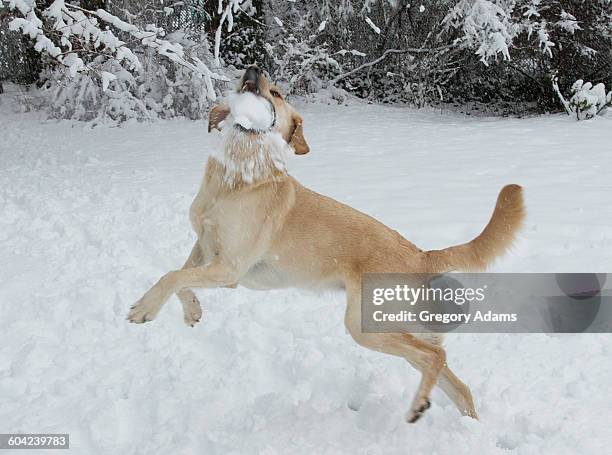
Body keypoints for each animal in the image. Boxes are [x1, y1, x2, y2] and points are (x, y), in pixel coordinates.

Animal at [126, 66, 524, 426]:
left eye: (276, 93)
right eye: (243, 82)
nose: (252, 70)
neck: (239, 174)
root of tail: (419, 254)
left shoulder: (229, 268)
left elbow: (171, 276)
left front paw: (144, 308)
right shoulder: (205, 248)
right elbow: (180, 277)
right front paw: (191, 311)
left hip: (364, 326)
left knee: (435, 359)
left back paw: (418, 408)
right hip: (393, 327)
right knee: (453, 377)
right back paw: (462, 422)